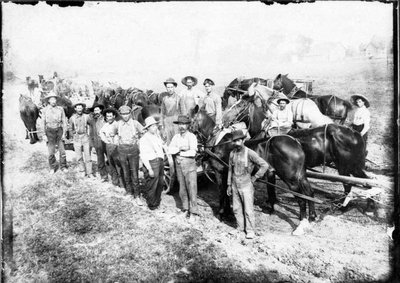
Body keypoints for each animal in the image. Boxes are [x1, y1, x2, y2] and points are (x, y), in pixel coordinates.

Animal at [192, 107, 318, 235]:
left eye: (189, 119)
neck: (218, 142)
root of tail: (296, 142)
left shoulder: (219, 172)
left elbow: (222, 192)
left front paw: (221, 214)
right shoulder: (227, 174)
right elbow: (227, 193)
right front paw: (228, 213)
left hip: (291, 179)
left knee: (301, 199)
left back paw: (301, 226)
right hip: (300, 176)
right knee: (309, 192)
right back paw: (312, 218)